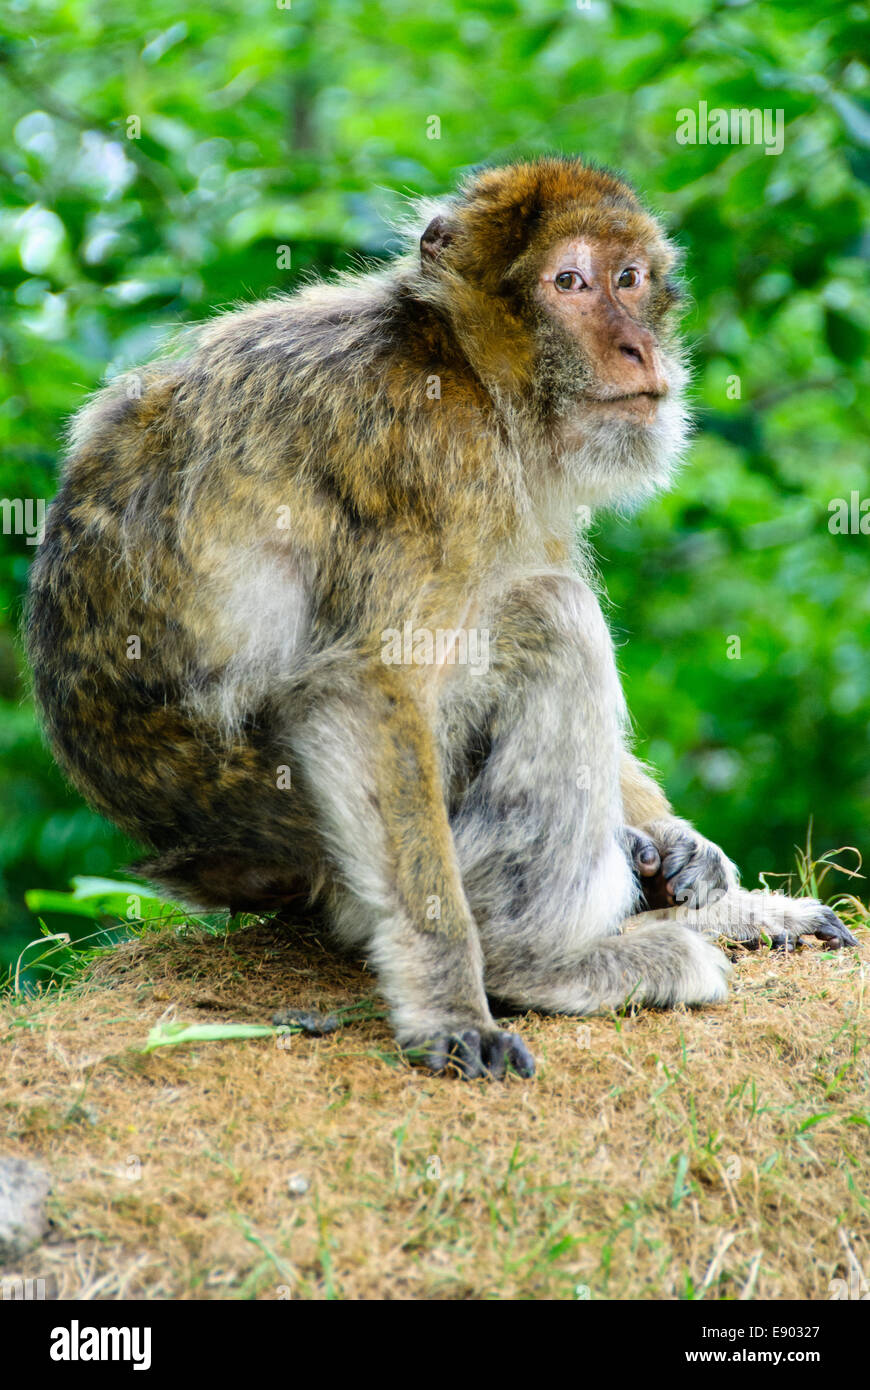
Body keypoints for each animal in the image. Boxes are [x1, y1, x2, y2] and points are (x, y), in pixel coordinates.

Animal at [25, 156, 858, 1080]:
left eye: (629, 280)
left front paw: (685, 851)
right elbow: (370, 686)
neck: (464, 365)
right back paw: (542, 961)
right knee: (550, 616)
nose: (637, 348)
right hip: (346, 868)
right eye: (568, 283)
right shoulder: (431, 454)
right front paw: (452, 1003)